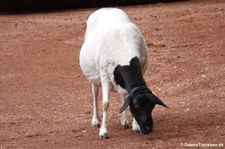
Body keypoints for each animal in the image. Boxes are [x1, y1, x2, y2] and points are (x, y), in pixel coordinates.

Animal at [79, 7, 167, 139]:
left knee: (122, 94)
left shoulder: (141, 69)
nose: (148, 128)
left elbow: (127, 95)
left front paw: (135, 126)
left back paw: (124, 121)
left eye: (152, 106)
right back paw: (95, 120)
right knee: (95, 94)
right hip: (94, 77)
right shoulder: (104, 77)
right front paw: (103, 131)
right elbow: (105, 103)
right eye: (136, 105)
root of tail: (107, 8)